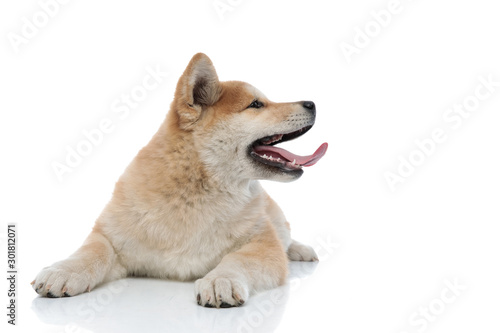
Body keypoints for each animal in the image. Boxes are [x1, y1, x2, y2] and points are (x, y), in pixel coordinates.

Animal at [32, 53, 328, 308]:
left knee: (286, 237)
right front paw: (63, 270)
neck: (195, 192)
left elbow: (238, 259)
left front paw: (222, 279)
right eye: (256, 104)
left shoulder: (263, 244)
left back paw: (300, 250)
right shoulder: (111, 235)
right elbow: (93, 250)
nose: (312, 103)